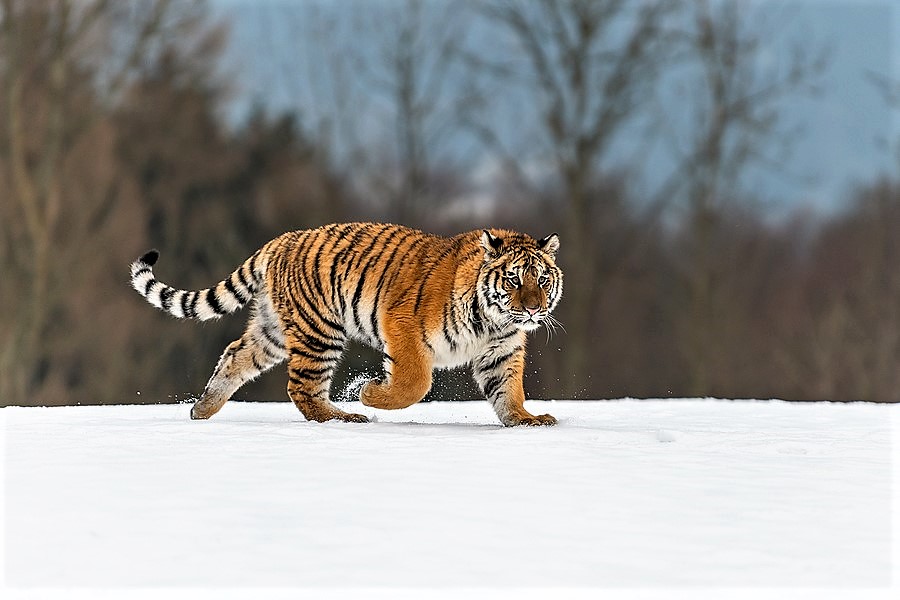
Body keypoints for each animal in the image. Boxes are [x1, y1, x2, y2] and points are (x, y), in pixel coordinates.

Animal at [131, 221, 564, 426]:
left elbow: (509, 390)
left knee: (235, 356)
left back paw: (202, 409)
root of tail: (283, 239)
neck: (494, 321)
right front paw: (370, 394)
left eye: (542, 280)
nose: (531, 310)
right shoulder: (402, 323)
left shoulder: (502, 350)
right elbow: (415, 382)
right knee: (302, 388)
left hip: (273, 331)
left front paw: (526, 420)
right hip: (318, 331)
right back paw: (345, 416)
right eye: (513, 279)